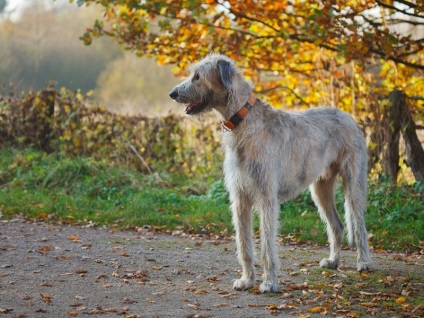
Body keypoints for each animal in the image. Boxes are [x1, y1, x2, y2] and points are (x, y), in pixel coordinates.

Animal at [169, 52, 372, 294]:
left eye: (198, 76)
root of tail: (348, 116)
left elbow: (267, 242)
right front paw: (247, 280)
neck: (243, 121)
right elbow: (244, 244)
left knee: (359, 224)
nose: (172, 93)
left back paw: (363, 262)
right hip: (320, 188)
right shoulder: (240, 197)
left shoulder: (266, 196)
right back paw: (333, 261)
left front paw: (269, 283)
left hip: (354, 181)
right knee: (337, 225)